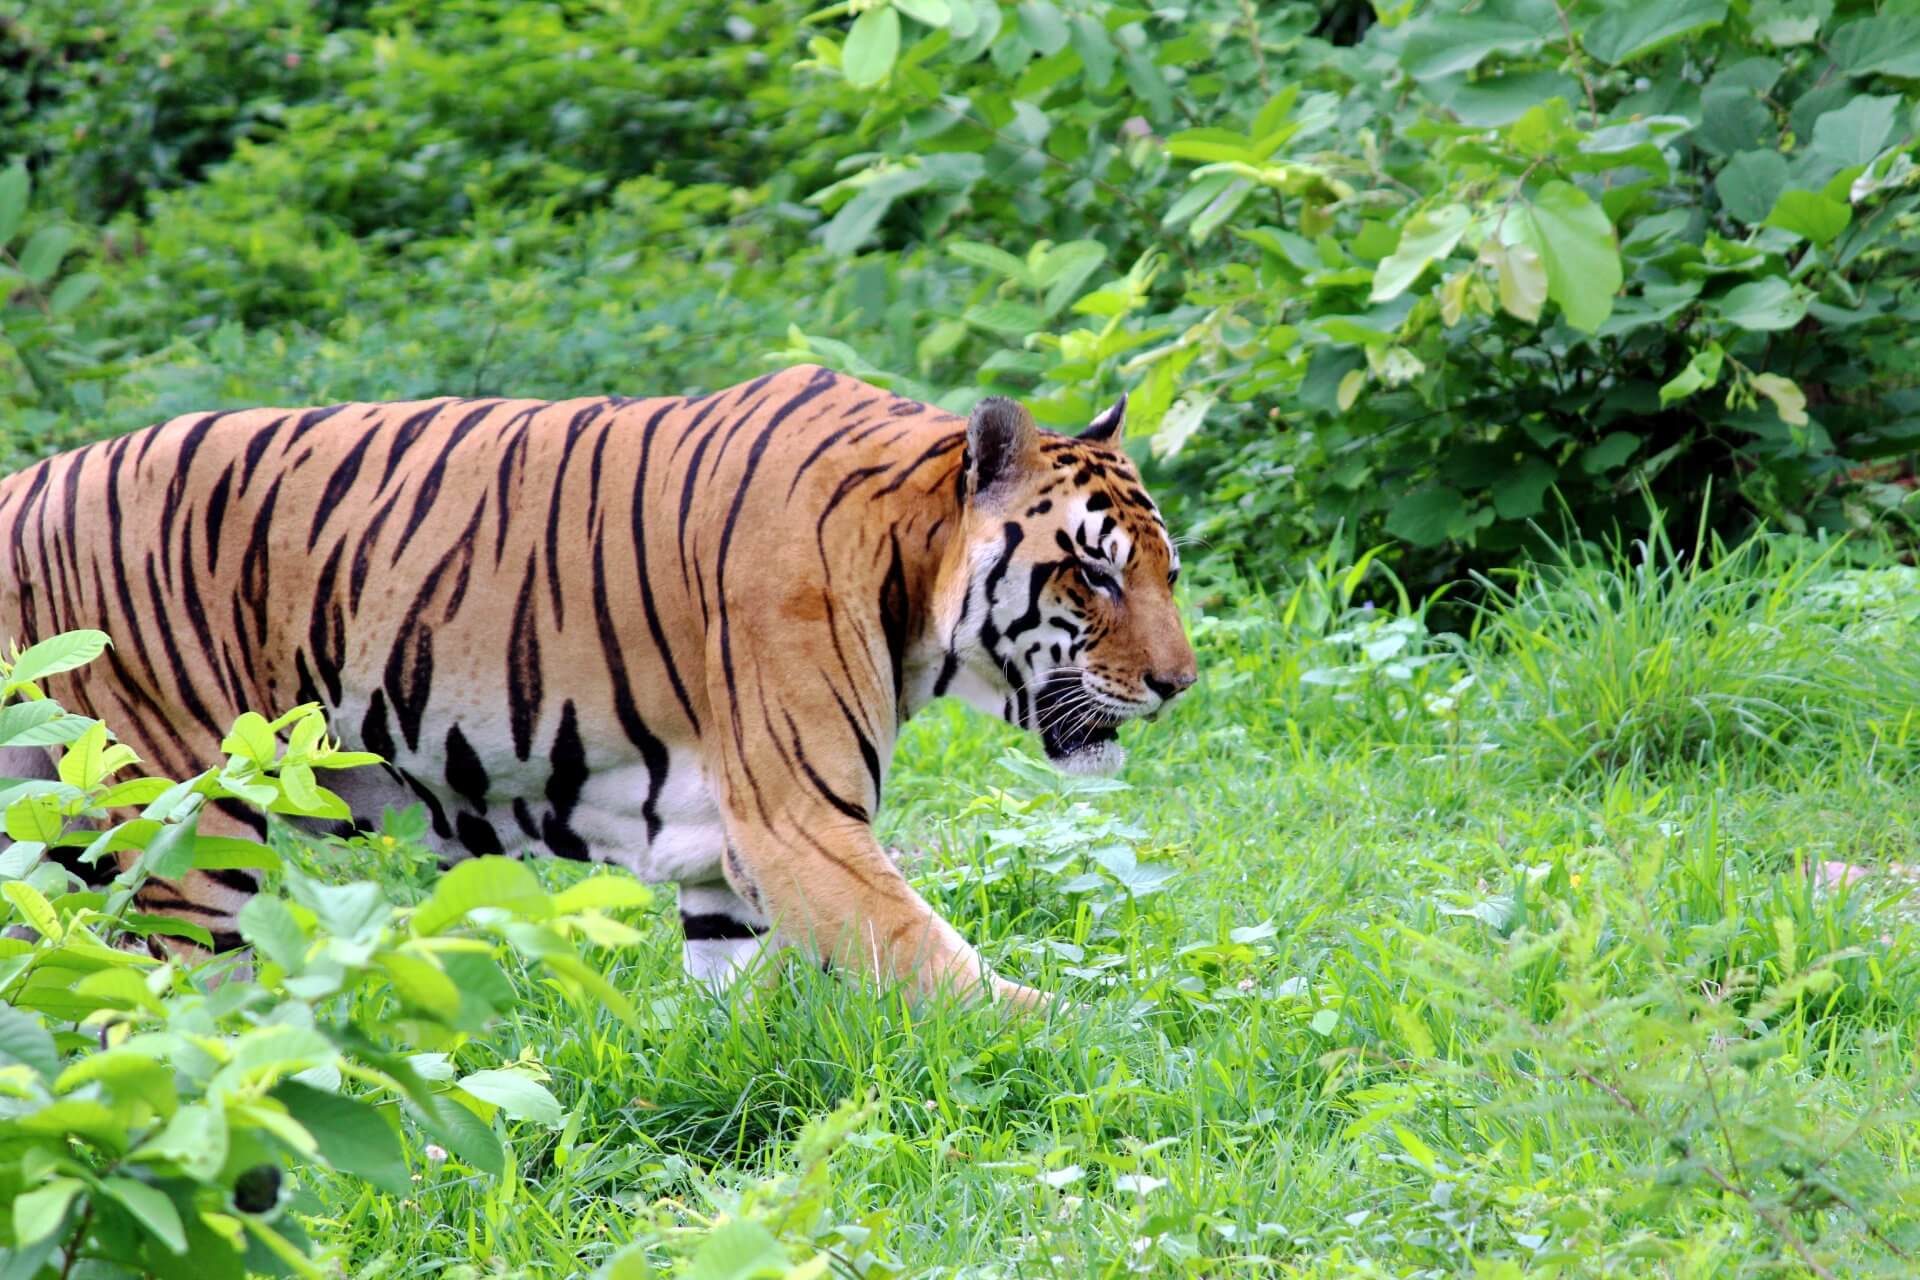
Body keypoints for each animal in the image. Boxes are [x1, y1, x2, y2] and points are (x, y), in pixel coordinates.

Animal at [0, 364, 1190, 1005]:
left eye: (1166, 570)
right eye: (1093, 572)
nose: (1179, 684)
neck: (908, 564)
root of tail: (24, 486)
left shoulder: (727, 857)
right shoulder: (803, 822)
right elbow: (948, 970)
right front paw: (1106, 1041)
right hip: (184, 837)